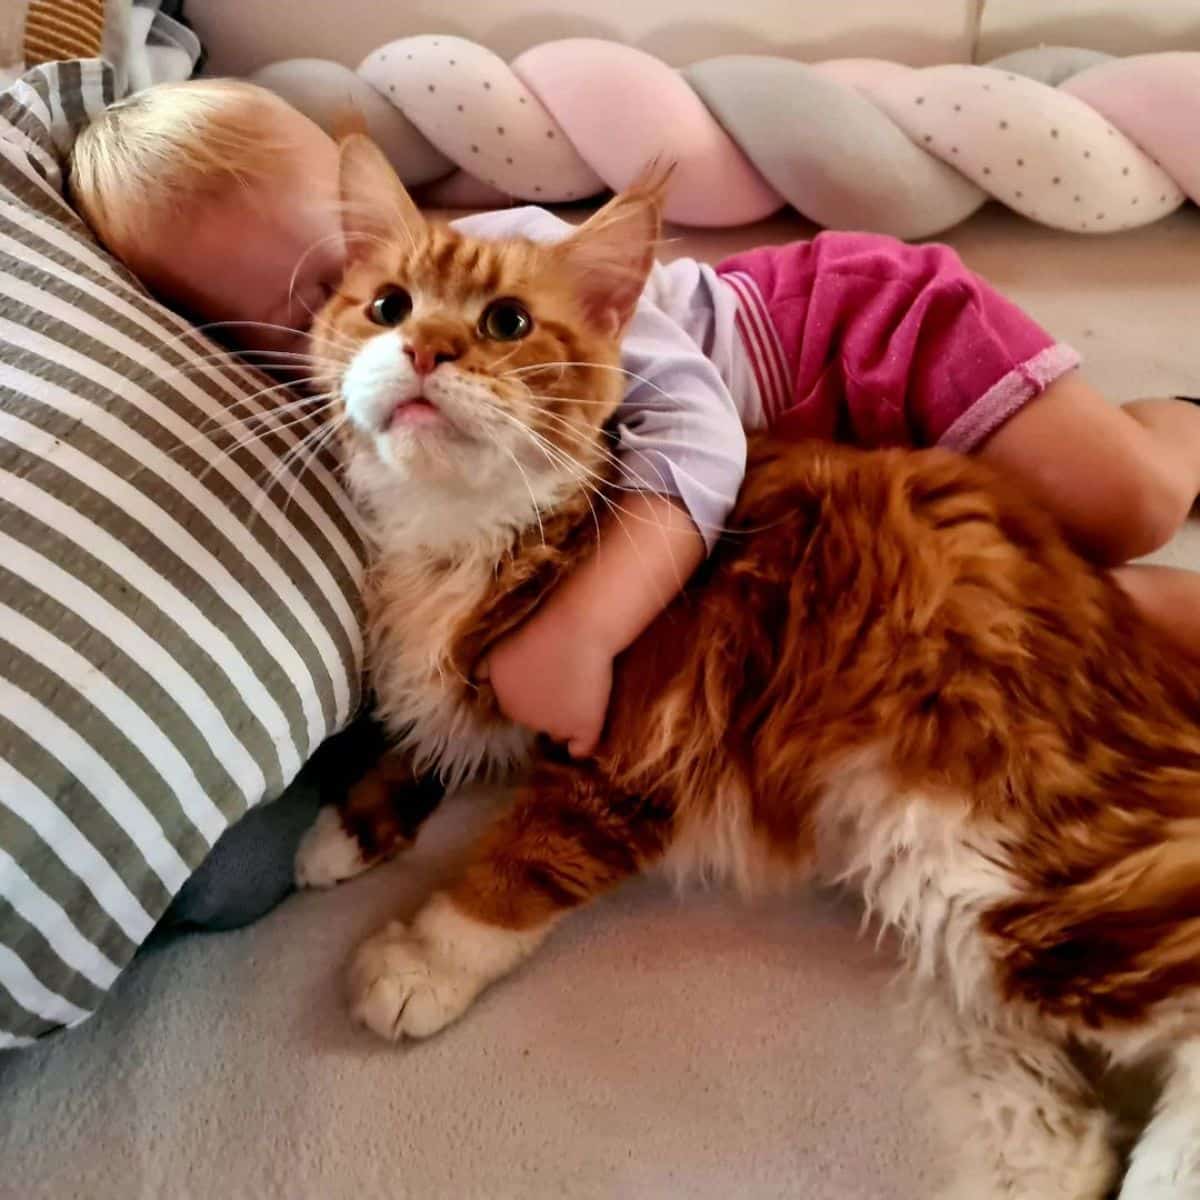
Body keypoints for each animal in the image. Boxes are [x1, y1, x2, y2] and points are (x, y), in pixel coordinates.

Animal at [295, 133, 1200, 1200]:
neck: (465, 541)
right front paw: (345, 827)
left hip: (1009, 854)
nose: (426, 350)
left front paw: (419, 965)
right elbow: (429, 735)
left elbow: (518, 870)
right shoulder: (463, 685)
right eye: (388, 306)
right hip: (940, 887)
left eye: (505, 322)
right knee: (1063, 1117)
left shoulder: (637, 749)